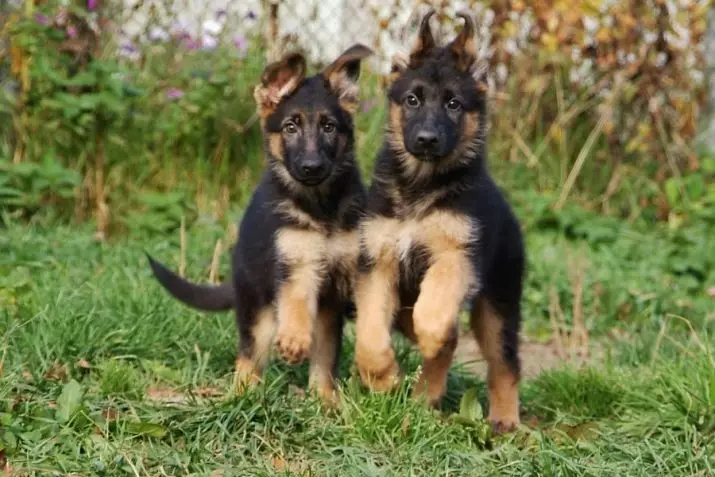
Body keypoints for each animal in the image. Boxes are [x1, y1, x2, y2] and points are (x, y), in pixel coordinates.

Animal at [150, 43, 374, 402]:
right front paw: (293, 338)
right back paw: (243, 397)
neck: (319, 205)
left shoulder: (349, 264)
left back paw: (326, 401)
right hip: (257, 309)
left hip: (325, 316)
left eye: (328, 127)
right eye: (290, 127)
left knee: (324, 360)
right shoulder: (294, 259)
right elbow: (296, 297)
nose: (311, 167)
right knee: (248, 357)